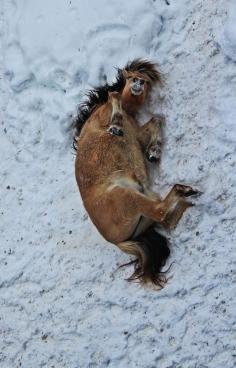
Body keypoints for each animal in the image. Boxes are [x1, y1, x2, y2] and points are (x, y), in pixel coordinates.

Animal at [73, 59, 198, 288]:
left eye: (144, 80)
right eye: (131, 77)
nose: (137, 84)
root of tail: (118, 241)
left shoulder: (137, 135)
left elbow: (156, 120)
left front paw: (153, 152)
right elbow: (115, 101)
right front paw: (116, 126)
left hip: (144, 205)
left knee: (165, 218)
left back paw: (186, 199)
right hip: (129, 196)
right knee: (160, 211)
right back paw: (183, 190)